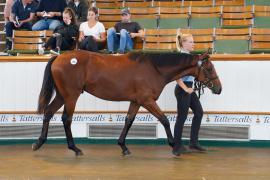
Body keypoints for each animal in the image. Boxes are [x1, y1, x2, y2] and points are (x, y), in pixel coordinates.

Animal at [32, 50, 221, 156]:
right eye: (209, 68)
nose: (219, 89)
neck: (155, 69)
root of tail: (58, 57)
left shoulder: (136, 101)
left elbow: (129, 121)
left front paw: (123, 146)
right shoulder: (147, 100)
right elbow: (164, 120)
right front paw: (175, 146)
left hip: (62, 95)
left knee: (48, 113)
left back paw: (39, 143)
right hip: (71, 96)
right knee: (66, 119)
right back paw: (75, 148)